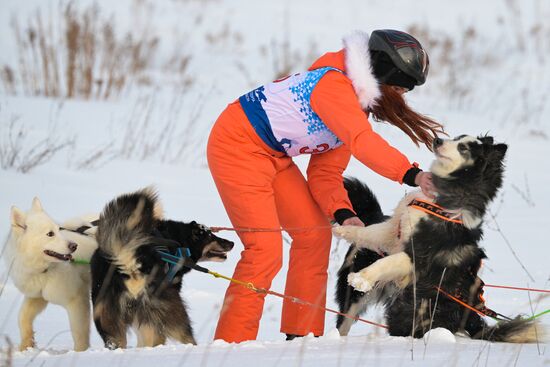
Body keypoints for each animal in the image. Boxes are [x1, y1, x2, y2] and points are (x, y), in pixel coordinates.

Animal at [5, 200, 98, 352]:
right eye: (50, 234)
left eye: (58, 230)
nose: (74, 246)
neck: (44, 270)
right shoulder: (37, 297)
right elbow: (22, 317)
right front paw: (26, 345)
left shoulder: (77, 300)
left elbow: (79, 332)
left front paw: (80, 352)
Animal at [91, 190, 234, 350]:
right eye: (210, 235)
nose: (232, 243)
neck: (179, 239)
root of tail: (130, 262)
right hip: (172, 311)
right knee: (183, 336)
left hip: (110, 322)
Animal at [336, 137, 544, 344]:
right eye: (458, 137)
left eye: (463, 148)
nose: (437, 140)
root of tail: (471, 318)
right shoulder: (394, 230)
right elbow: (369, 232)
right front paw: (344, 229)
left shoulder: (418, 256)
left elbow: (386, 262)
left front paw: (361, 278)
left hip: (409, 310)